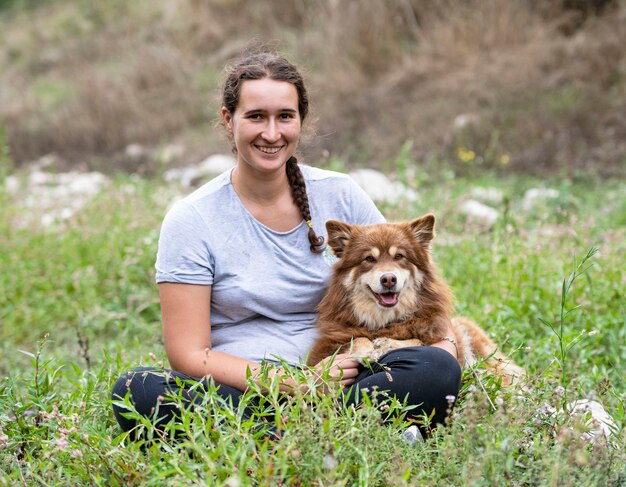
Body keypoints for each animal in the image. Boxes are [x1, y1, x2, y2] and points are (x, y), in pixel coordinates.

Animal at [306, 215, 520, 386]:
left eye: (399, 256)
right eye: (369, 259)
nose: (388, 279)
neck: (384, 320)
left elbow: (416, 341)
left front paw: (385, 344)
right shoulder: (324, 350)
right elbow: (356, 338)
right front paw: (366, 349)